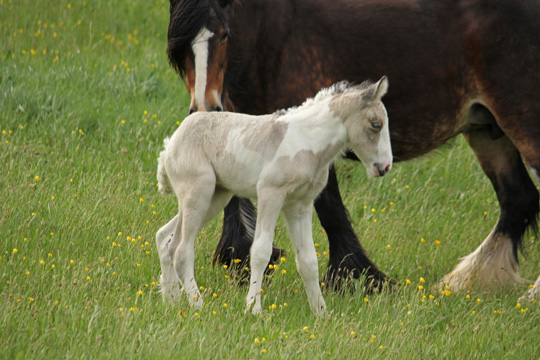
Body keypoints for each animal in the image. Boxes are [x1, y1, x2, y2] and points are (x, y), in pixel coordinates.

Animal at [156, 76, 392, 316]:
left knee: (165, 238)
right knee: (181, 250)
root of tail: (169, 146)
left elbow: (308, 260)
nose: (384, 167)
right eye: (376, 124)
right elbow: (261, 252)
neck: (307, 142)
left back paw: (171, 301)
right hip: (198, 192)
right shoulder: (270, 194)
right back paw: (199, 306)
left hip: (215, 197)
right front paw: (253, 309)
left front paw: (321, 313)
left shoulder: (300, 205)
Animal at [167, 0, 540, 296]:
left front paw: (356, 277)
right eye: (179, 42)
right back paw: (468, 280)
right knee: (517, 199)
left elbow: (330, 209)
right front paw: (240, 260)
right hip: (487, 132)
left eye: (223, 34)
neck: (272, 38)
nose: (204, 107)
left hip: (522, 124)